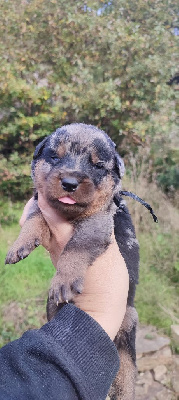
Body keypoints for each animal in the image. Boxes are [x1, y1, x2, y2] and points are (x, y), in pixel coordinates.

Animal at [4, 123, 138, 398]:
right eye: (55, 157)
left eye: (98, 165)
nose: (69, 183)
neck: (69, 215)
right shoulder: (41, 204)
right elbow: (35, 217)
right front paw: (20, 244)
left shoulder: (97, 223)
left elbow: (75, 248)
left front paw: (63, 279)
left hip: (129, 319)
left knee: (127, 371)